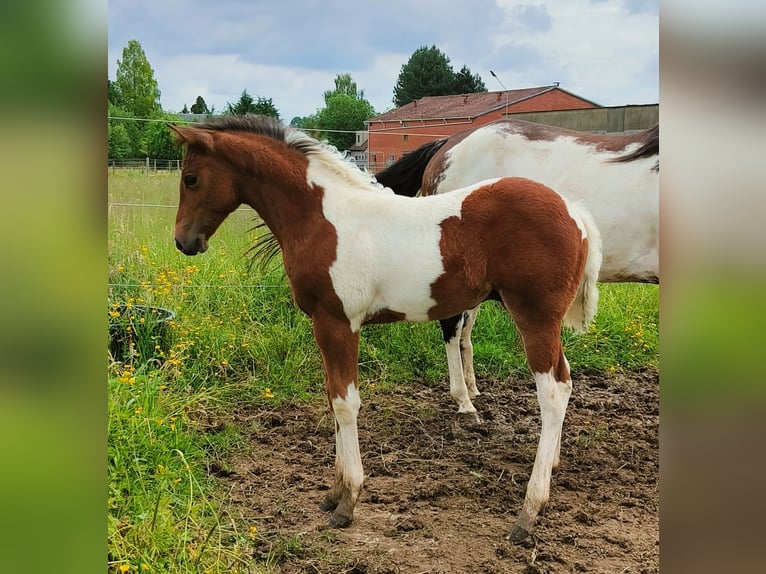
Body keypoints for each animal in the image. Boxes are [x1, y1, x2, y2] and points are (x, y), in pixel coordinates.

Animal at [171, 115, 604, 544]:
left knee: (552, 392)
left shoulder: (338, 322)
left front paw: (348, 501)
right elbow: (332, 397)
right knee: (565, 381)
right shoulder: (325, 325)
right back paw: (552, 468)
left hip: (535, 317)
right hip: (545, 322)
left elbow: (345, 404)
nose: (183, 241)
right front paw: (333, 493)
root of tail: (574, 211)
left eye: (190, 178)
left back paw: (529, 512)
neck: (324, 217)